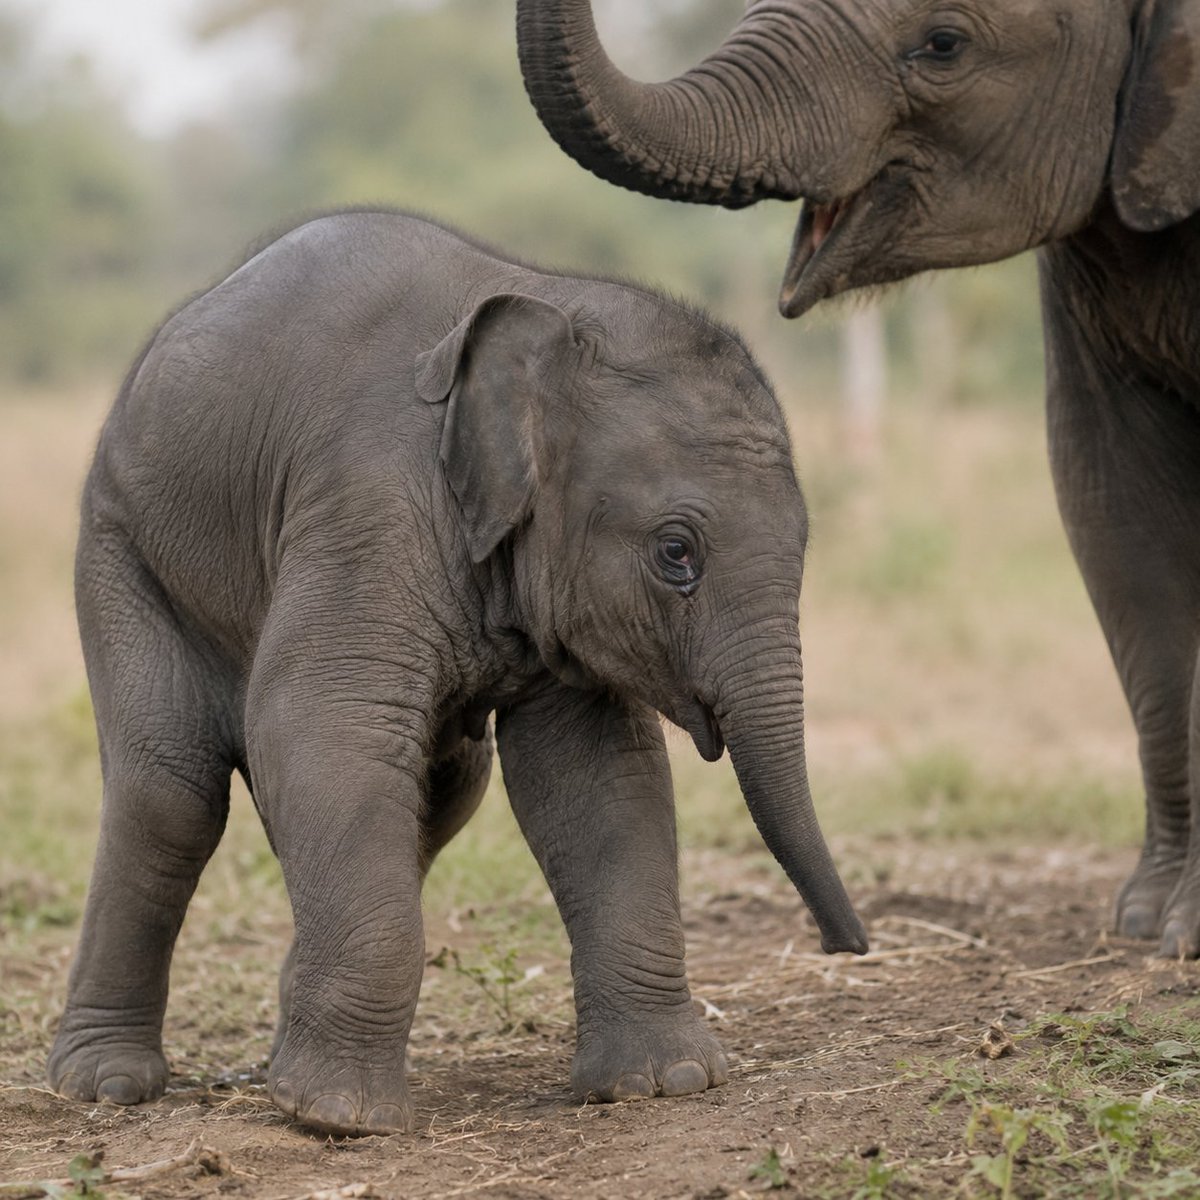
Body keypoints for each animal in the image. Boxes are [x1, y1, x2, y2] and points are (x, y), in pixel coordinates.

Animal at [46, 211, 867, 1138]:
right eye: (676, 554)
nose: (847, 946)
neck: (556, 308)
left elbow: (595, 779)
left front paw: (666, 1083)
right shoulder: (366, 505)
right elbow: (321, 727)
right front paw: (337, 1117)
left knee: (445, 788)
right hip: (120, 548)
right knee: (170, 793)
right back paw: (106, 1085)